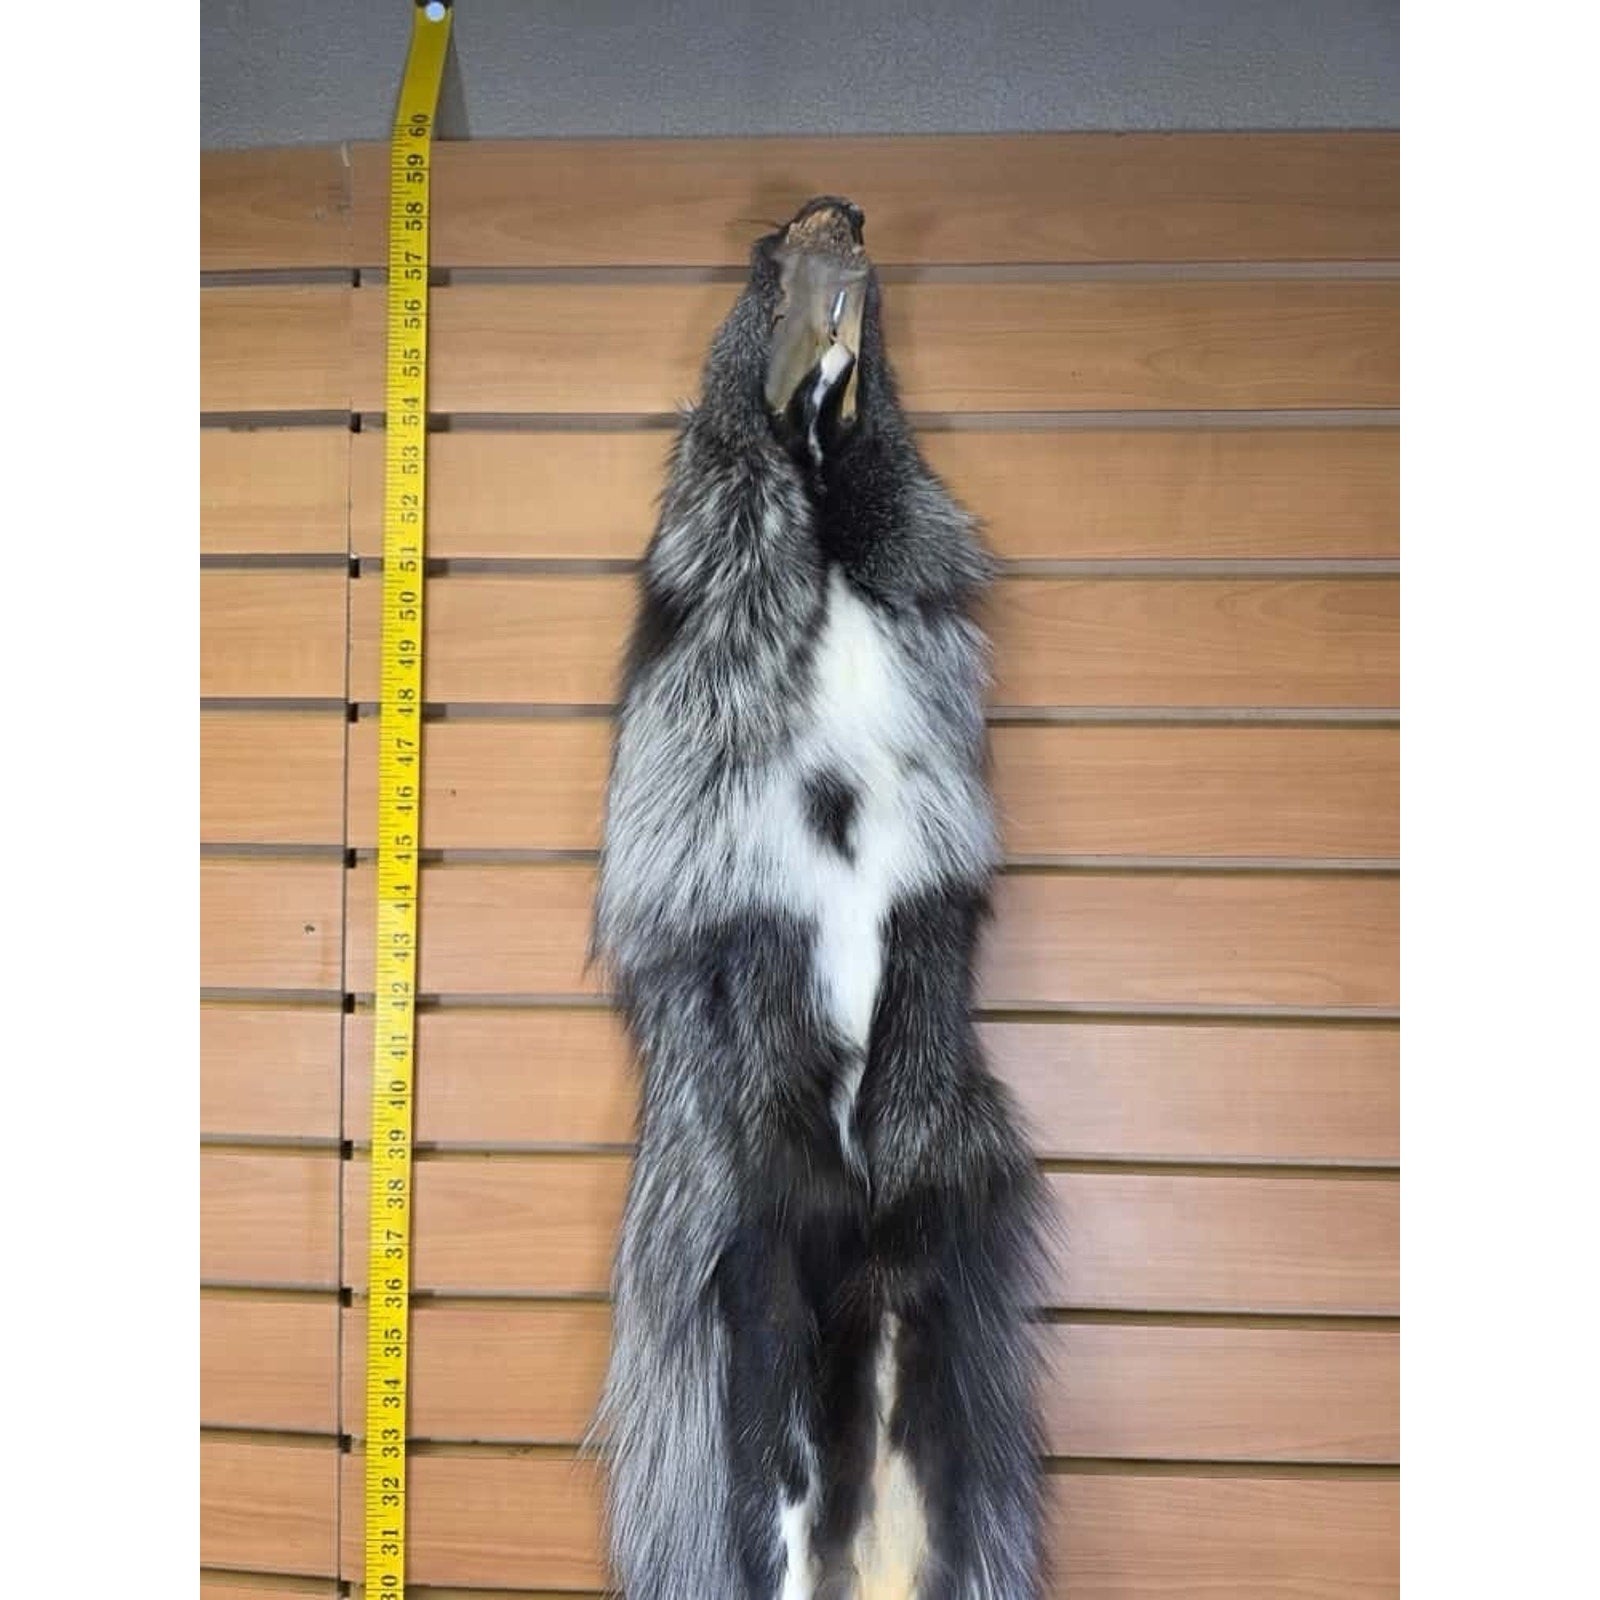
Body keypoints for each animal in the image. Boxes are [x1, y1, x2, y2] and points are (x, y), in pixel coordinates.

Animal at [591, 196, 1047, 1600]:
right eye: (764, 239)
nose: (838, 214)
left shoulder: (893, 527)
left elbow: (892, 492)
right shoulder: (724, 537)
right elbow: (741, 511)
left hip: (929, 1321)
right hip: (767, 1308)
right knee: (769, 1497)